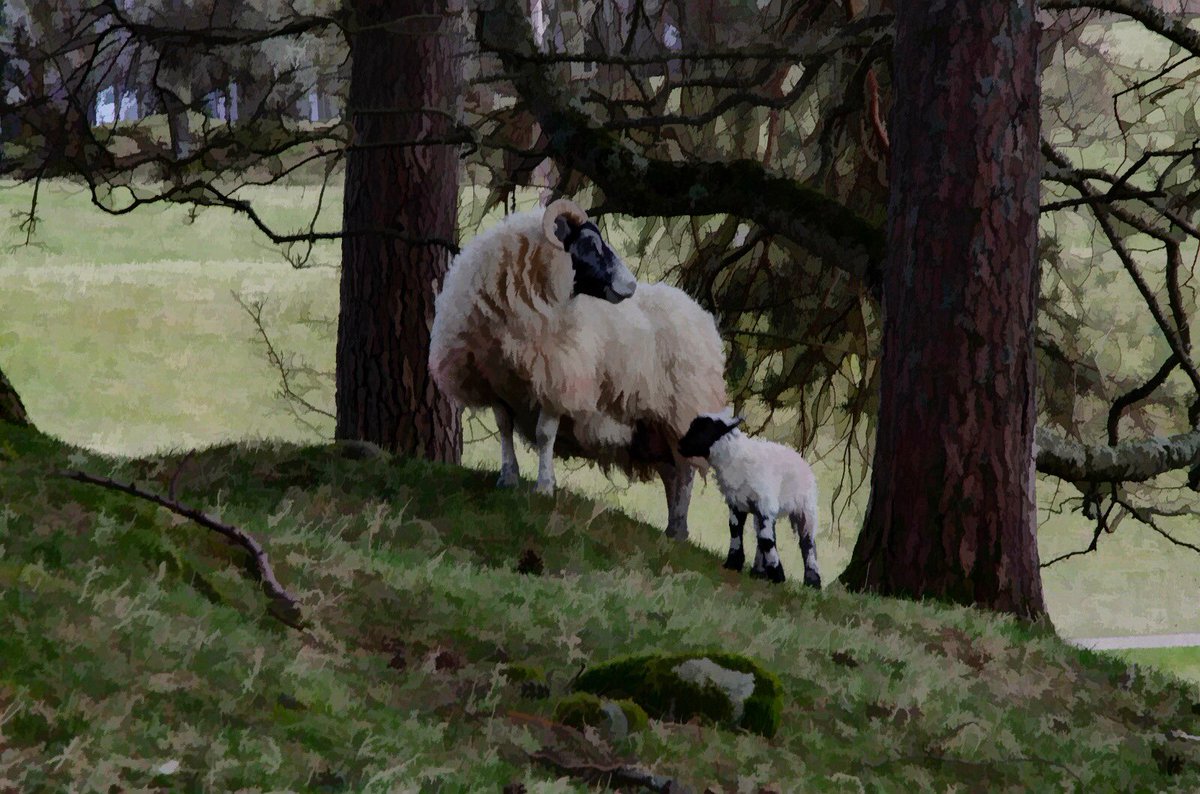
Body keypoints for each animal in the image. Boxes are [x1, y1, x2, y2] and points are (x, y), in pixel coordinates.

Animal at [428, 198, 727, 539]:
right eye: (589, 244)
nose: (631, 286)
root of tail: (702, 316)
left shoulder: (558, 378)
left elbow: (544, 434)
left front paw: (544, 487)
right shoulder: (498, 384)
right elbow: (504, 429)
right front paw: (508, 477)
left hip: (683, 412)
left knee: (686, 472)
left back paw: (678, 530)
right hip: (653, 424)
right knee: (671, 472)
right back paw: (672, 529)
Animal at [677, 410, 822, 587]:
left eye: (705, 429)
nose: (680, 446)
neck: (734, 459)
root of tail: (800, 459)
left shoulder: (765, 503)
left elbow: (767, 540)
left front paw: (778, 576)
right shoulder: (736, 503)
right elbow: (735, 530)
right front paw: (733, 564)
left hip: (805, 507)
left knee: (807, 542)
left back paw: (813, 581)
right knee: (762, 535)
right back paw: (758, 572)